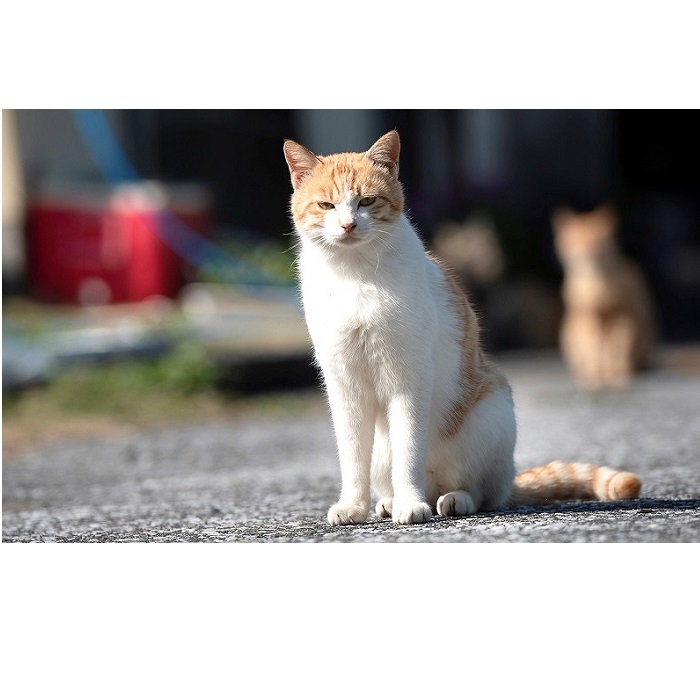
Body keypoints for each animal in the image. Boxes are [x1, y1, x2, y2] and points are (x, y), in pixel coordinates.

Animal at [284, 133, 640, 524]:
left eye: (367, 201)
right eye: (326, 205)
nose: (348, 225)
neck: (355, 275)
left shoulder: (409, 380)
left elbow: (408, 450)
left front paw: (411, 504)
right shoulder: (344, 384)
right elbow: (351, 457)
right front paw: (353, 505)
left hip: (492, 413)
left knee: (483, 492)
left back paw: (453, 499)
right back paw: (389, 501)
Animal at [552, 205, 656, 392]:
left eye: (596, 242)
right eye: (573, 242)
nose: (585, 255)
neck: (595, 285)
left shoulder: (622, 316)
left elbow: (617, 348)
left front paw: (616, 374)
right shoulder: (588, 319)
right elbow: (595, 349)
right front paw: (596, 374)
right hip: (569, 330)